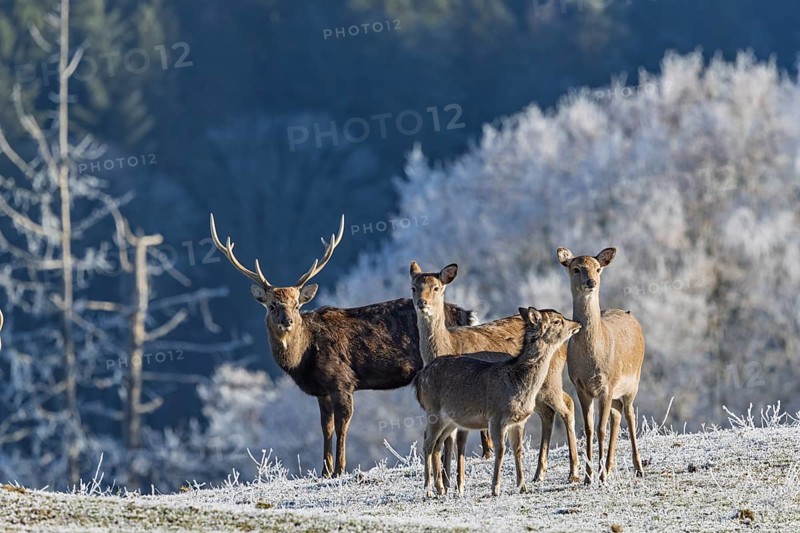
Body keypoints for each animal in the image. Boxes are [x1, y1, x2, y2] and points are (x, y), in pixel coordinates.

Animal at [209, 214, 478, 478]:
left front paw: (339, 469)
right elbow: (325, 427)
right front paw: (324, 471)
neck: (304, 359)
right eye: (272, 305)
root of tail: (466, 313)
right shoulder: (322, 391)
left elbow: (342, 425)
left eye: (297, 305)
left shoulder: (342, 381)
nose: (288, 321)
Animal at [410, 261, 581, 489]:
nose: (422, 303)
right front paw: (448, 484)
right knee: (548, 412)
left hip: (551, 382)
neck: (448, 345)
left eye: (436, 288)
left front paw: (455, 484)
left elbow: (459, 440)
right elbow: (452, 440)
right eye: (413, 287)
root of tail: (563, 349)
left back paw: (573, 472)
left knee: (567, 405)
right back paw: (539, 473)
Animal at [556, 247, 645, 483]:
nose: (591, 282)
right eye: (576, 268)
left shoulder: (608, 385)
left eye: (598, 268)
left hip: (633, 382)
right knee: (617, 416)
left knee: (629, 415)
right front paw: (589, 477)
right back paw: (610, 467)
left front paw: (600, 477)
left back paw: (638, 468)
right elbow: (588, 428)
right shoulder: (580, 386)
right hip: (617, 392)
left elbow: (600, 429)